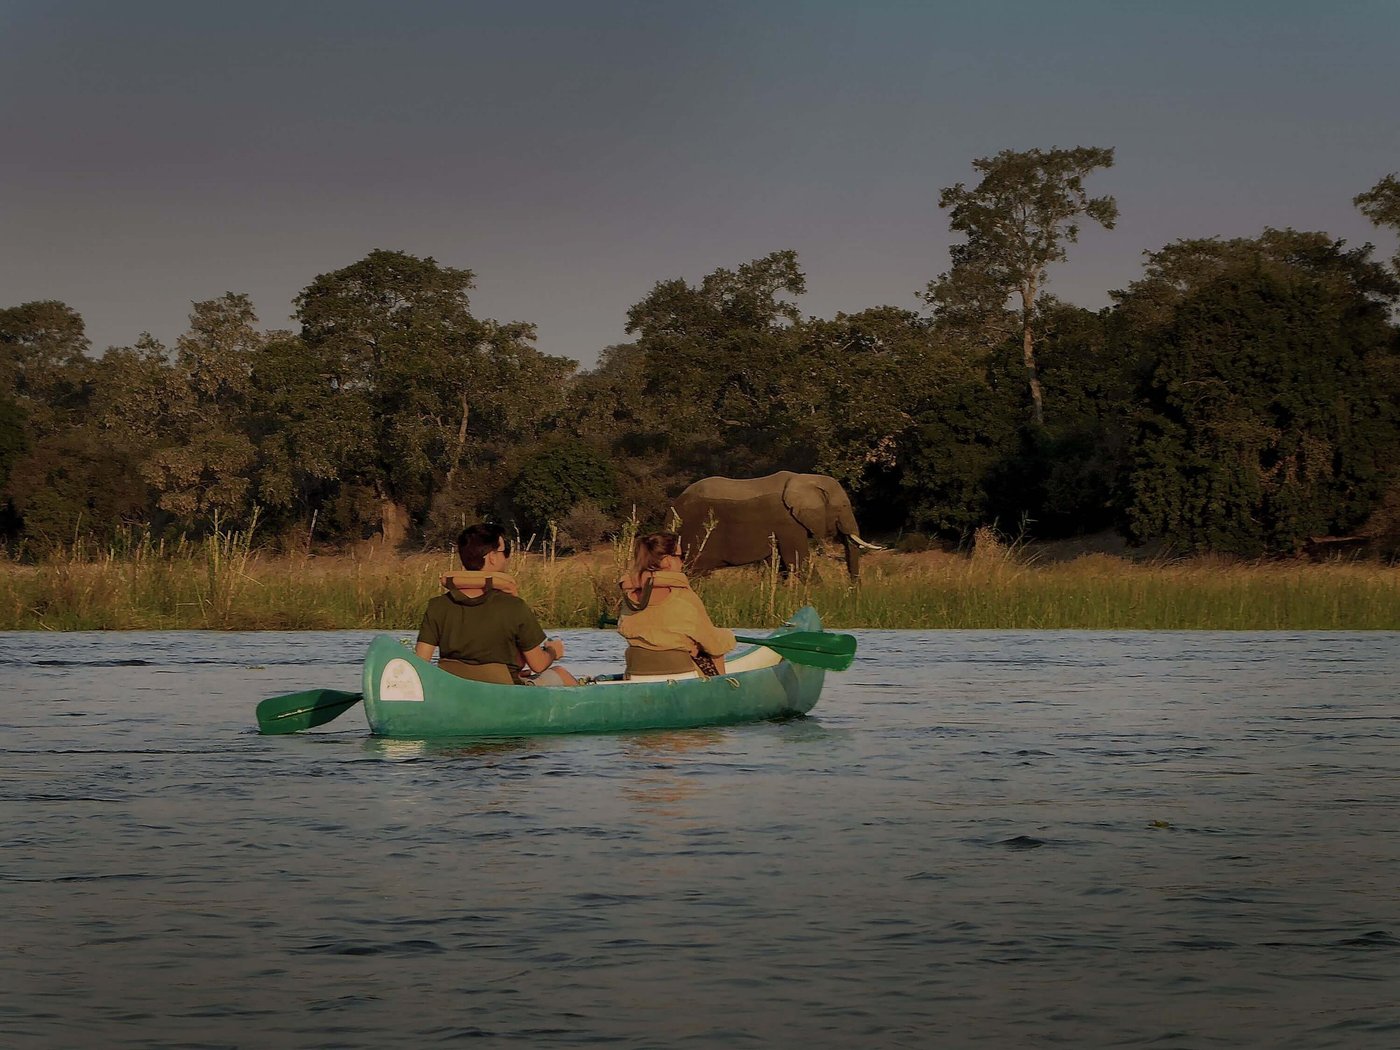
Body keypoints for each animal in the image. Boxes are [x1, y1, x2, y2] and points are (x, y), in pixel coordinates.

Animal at [671, 471, 882, 580]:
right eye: (843, 507)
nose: (853, 597)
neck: (806, 478)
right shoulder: (787, 522)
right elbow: (798, 561)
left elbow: (780, 565)